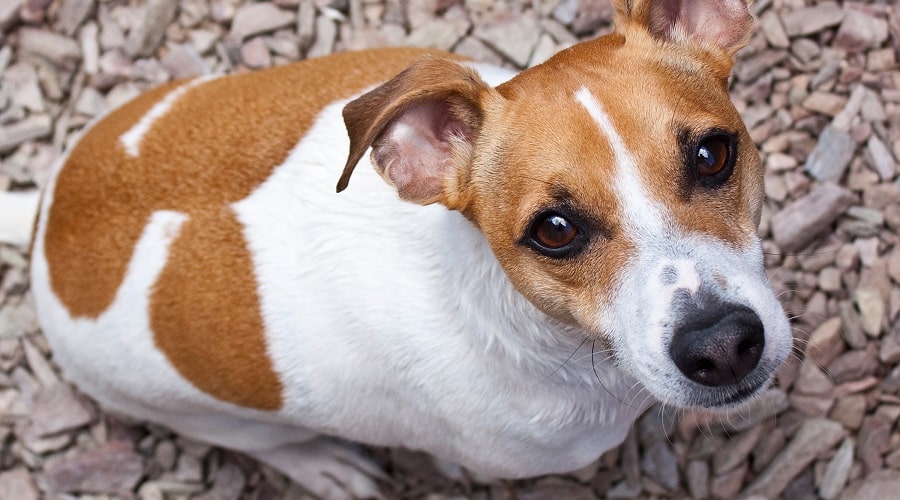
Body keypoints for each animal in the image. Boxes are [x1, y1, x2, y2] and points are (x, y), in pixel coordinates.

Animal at [3, 0, 792, 496]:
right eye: (555, 230)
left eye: (713, 155)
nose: (722, 346)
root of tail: (45, 216)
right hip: (200, 413)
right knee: (265, 443)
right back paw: (324, 464)